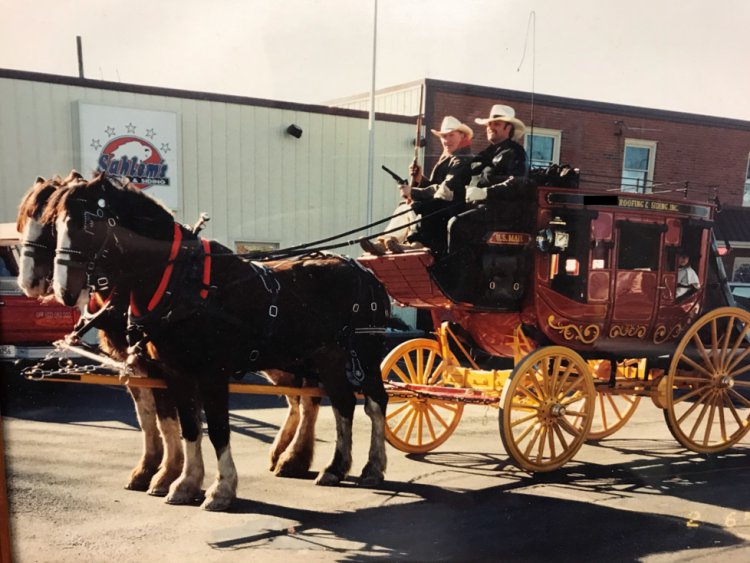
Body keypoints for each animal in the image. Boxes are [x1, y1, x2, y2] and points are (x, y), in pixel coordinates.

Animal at [45, 173, 394, 512]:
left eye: (87, 224)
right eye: (56, 225)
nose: (63, 291)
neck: (181, 282)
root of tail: (367, 273)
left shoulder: (211, 373)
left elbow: (217, 429)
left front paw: (221, 489)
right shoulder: (175, 372)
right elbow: (189, 427)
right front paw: (185, 484)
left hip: (364, 354)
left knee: (375, 403)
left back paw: (373, 467)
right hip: (329, 358)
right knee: (343, 404)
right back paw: (335, 468)